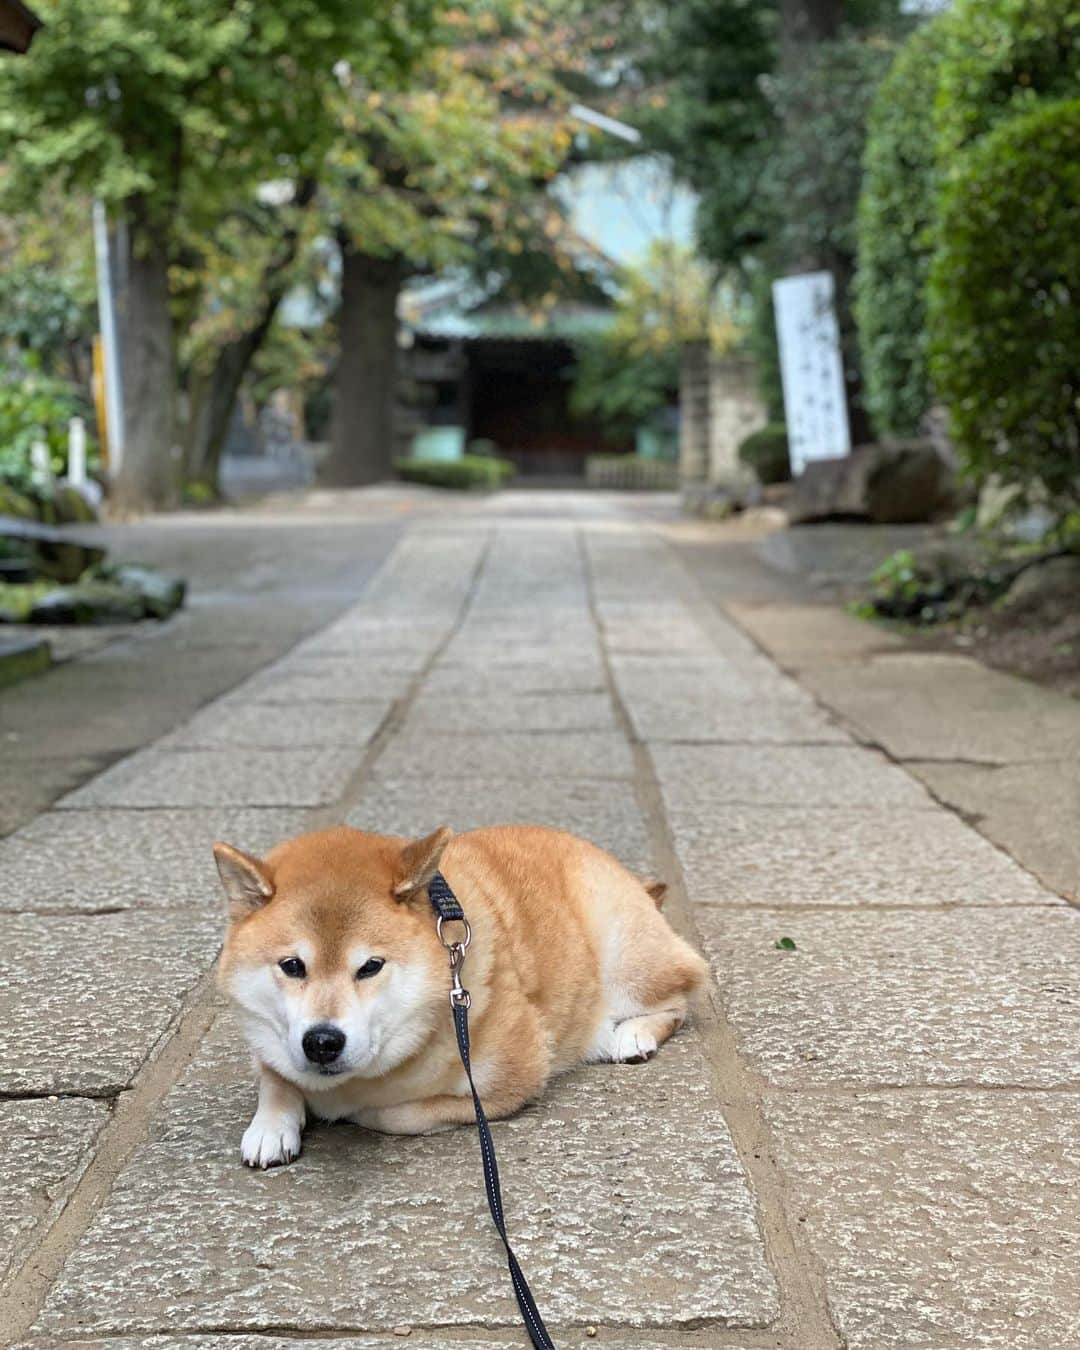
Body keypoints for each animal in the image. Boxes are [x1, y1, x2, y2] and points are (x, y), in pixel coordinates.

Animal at [217, 820, 707, 1171]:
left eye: (370, 966)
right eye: (292, 966)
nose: (322, 1041)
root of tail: (629, 876)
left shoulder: (509, 1083)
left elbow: (389, 1114)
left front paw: (345, 1110)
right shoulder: (271, 1043)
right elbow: (274, 1075)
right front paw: (272, 1125)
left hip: (627, 960)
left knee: (680, 996)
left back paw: (628, 1035)